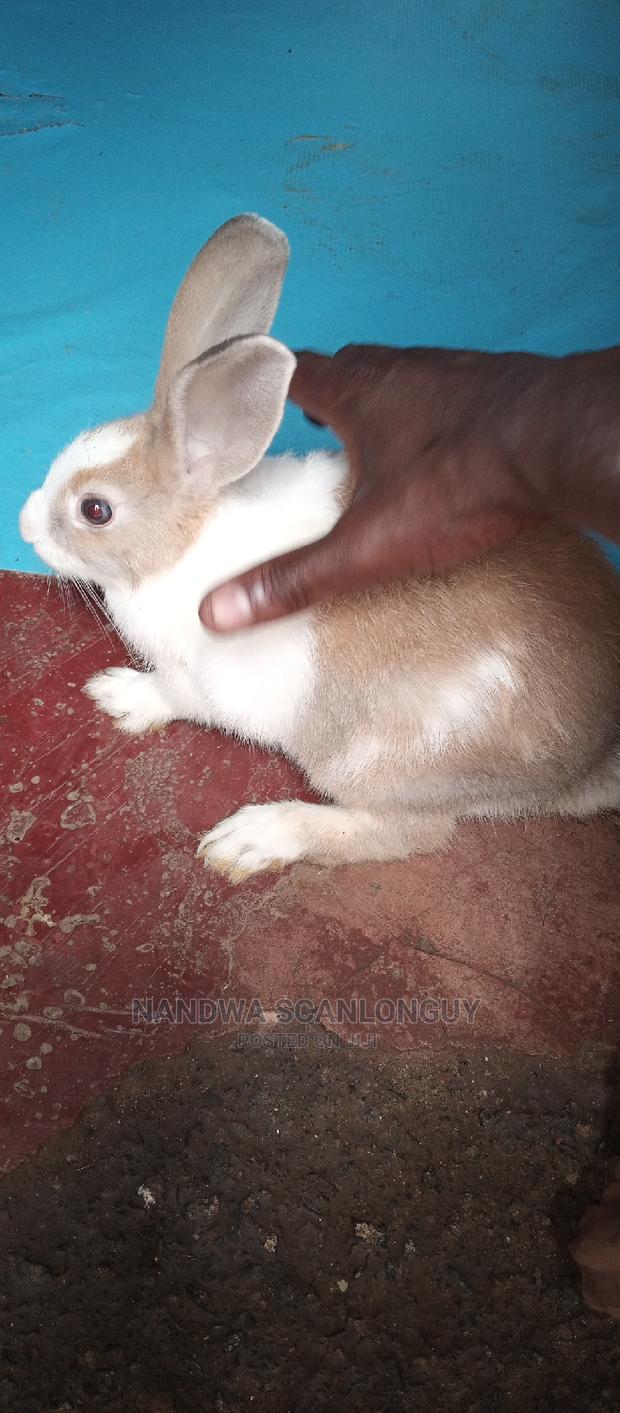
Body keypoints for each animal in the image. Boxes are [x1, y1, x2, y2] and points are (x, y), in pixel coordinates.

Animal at [20, 214, 620, 882]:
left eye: (94, 510)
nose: (23, 525)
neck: (183, 544)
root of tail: (590, 760)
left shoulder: (207, 681)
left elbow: (174, 695)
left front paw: (123, 696)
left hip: (373, 761)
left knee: (407, 833)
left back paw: (253, 838)